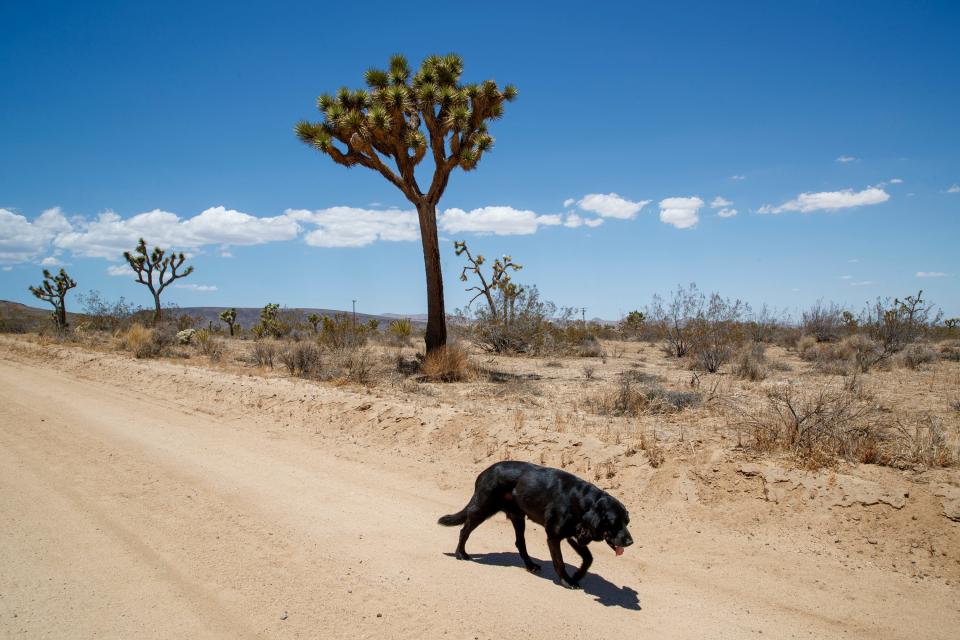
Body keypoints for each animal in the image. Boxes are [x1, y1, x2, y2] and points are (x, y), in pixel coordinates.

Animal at [438, 460, 632, 592]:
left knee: (520, 543)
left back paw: (530, 565)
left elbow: (589, 558)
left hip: (518, 517)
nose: (630, 542)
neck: (582, 501)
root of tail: (485, 472)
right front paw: (567, 581)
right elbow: (559, 562)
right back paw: (461, 553)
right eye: (615, 523)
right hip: (482, 508)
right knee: (464, 530)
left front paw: (577, 574)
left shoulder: (573, 535)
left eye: (627, 522)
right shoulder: (554, 536)